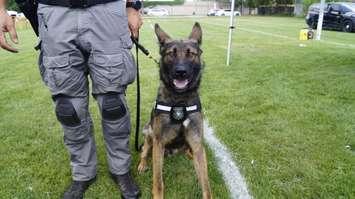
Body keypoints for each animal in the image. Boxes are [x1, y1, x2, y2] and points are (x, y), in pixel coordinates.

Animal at [138, 23, 211, 199]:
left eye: (190, 54)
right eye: (171, 54)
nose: (180, 72)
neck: (180, 100)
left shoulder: (197, 142)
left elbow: (206, 184)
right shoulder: (158, 142)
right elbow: (158, 181)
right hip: (148, 132)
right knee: (144, 151)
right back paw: (142, 164)